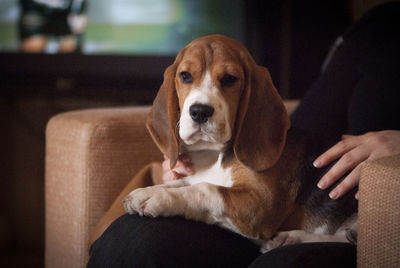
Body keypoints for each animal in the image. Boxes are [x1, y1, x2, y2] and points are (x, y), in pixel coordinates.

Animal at [123, 34, 358, 250]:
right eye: (185, 76)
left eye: (229, 79)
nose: (200, 111)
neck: (215, 155)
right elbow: (183, 182)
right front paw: (148, 191)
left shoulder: (260, 203)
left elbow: (205, 189)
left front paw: (160, 197)